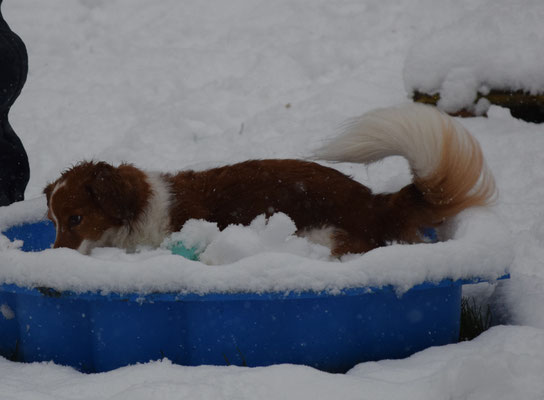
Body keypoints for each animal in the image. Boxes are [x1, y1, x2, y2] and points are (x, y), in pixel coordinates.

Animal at [43, 104, 498, 255]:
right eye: (53, 222)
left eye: (76, 219)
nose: (55, 255)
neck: (139, 209)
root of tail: (373, 201)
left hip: (320, 237)